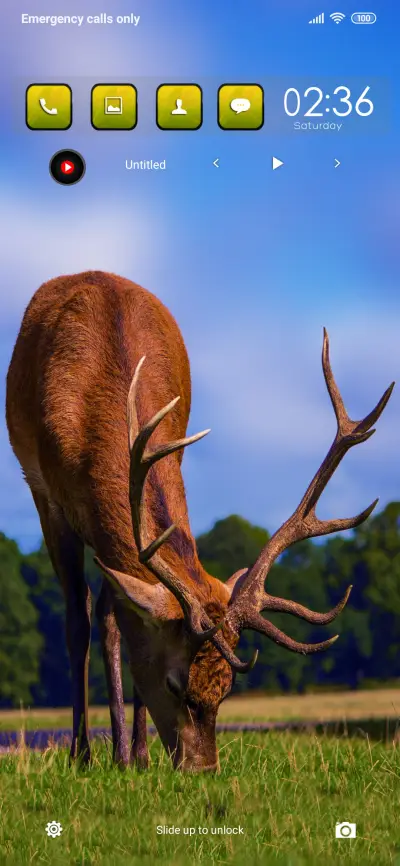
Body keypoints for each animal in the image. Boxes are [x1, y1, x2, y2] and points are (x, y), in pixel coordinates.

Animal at [6, 271, 393, 772]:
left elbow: (122, 620)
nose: (204, 768)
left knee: (111, 611)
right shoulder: (49, 498)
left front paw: (135, 755)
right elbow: (77, 622)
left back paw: (131, 752)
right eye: (175, 684)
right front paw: (83, 755)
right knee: (89, 615)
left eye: (227, 687)